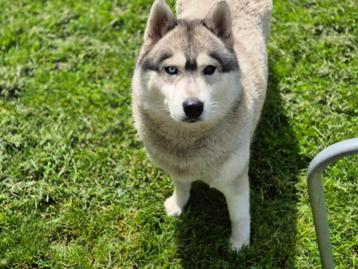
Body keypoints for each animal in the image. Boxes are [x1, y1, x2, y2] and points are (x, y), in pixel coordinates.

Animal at [131, 0, 272, 250]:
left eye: (209, 69)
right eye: (171, 69)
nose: (193, 106)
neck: (188, 141)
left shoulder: (235, 179)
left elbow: (239, 215)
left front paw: (240, 244)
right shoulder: (176, 167)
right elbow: (181, 185)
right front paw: (178, 204)